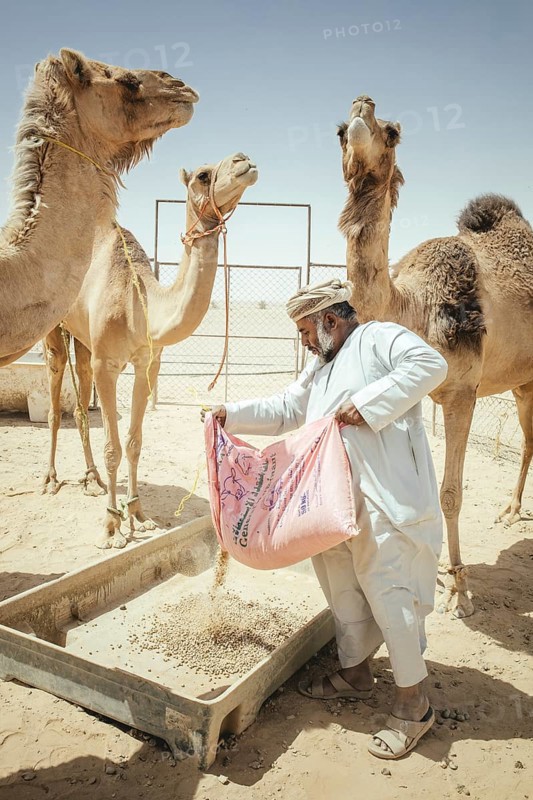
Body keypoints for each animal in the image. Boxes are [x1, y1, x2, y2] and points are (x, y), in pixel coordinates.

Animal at [43, 152, 258, 549]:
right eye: (203, 175)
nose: (244, 160)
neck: (138, 304)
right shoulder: (108, 365)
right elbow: (113, 447)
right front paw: (112, 528)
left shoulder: (147, 364)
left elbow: (134, 442)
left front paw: (139, 516)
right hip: (53, 326)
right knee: (55, 388)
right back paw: (50, 480)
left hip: (83, 338)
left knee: (80, 398)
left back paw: (91, 480)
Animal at [337, 95, 533, 618]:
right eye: (341, 131)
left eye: (393, 132)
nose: (362, 105)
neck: (415, 307)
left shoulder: (463, 393)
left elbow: (450, 494)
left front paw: (459, 590)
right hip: (524, 380)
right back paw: (511, 510)